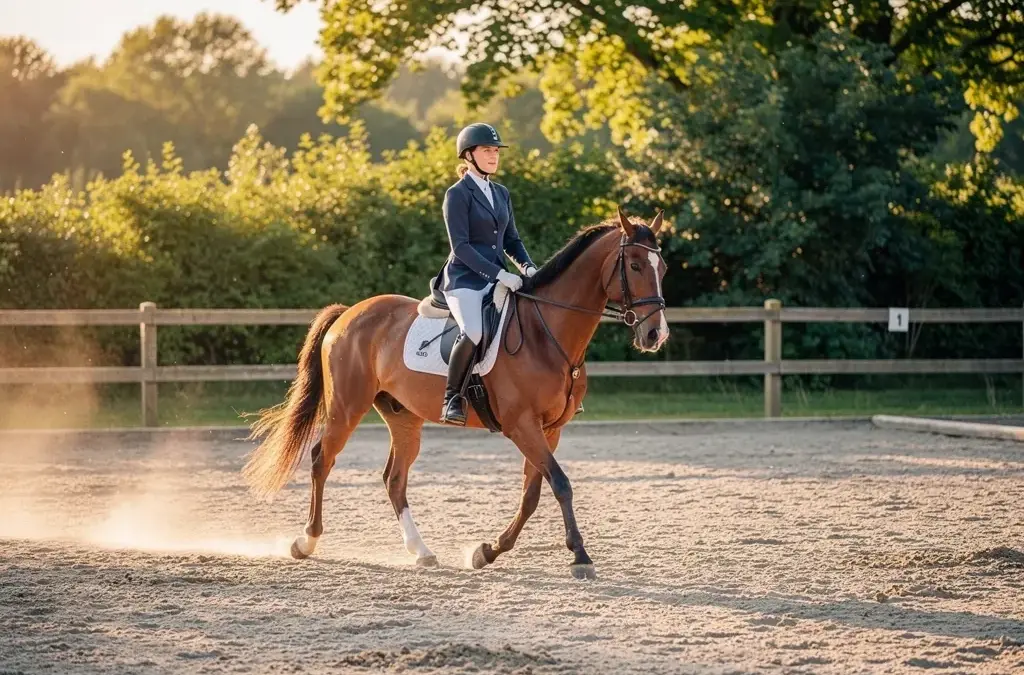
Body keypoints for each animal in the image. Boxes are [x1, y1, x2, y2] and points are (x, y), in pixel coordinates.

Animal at [241, 206, 669, 579]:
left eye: (661, 268)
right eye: (634, 265)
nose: (655, 334)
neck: (545, 333)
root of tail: (348, 313)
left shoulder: (550, 429)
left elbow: (532, 495)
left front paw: (487, 552)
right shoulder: (522, 426)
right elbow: (561, 484)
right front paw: (580, 556)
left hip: (403, 417)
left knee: (394, 478)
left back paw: (422, 552)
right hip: (347, 407)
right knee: (322, 460)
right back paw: (306, 542)